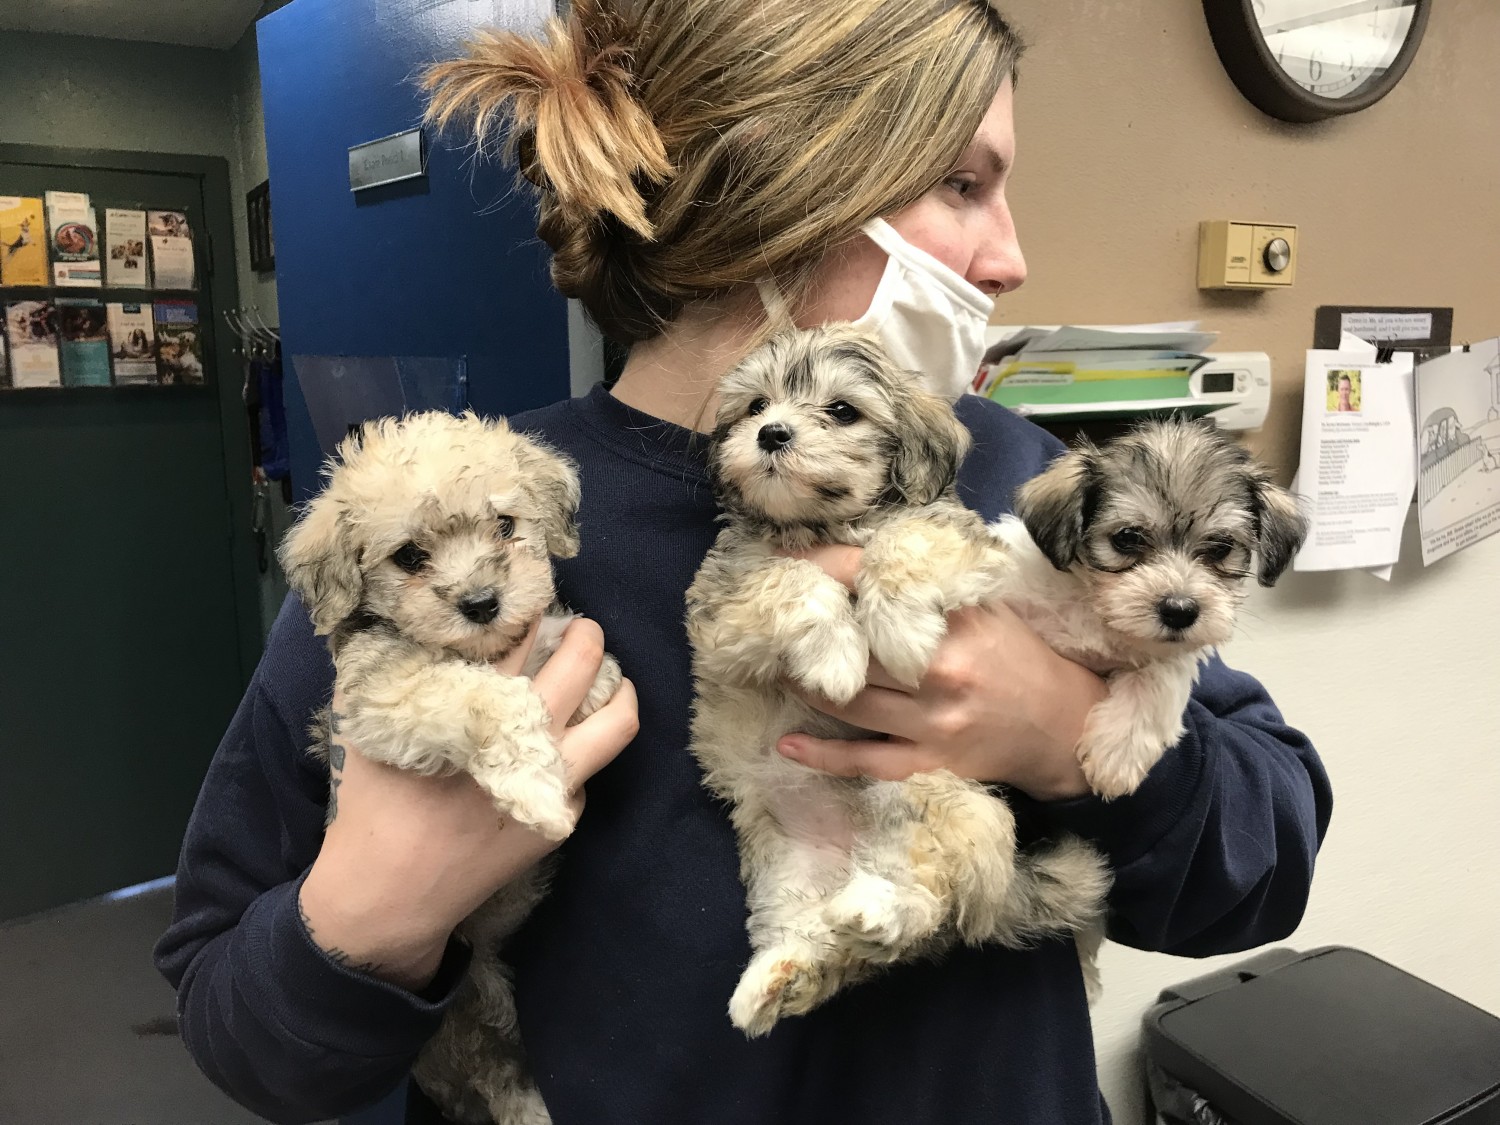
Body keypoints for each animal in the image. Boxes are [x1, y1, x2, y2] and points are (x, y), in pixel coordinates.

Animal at [282, 411, 615, 1125]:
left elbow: (572, 653)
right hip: (465, 1015)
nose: (483, 603)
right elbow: (489, 696)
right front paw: (537, 787)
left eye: (505, 526)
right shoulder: (386, 696)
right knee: (499, 1078)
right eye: (409, 556)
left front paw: (594, 689)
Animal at [687, 324, 1110, 1038]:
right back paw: (774, 980)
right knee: (828, 943)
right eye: (755, 406)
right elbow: (791, 578)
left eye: (841, 411)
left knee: (923, 893)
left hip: (933, 797)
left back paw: (877, 906)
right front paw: (836, 651)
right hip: (788, 873)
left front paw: (897, 629)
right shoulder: (721, 611)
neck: (819, 524)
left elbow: (902, 543)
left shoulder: (958, 542)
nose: (771, 433)